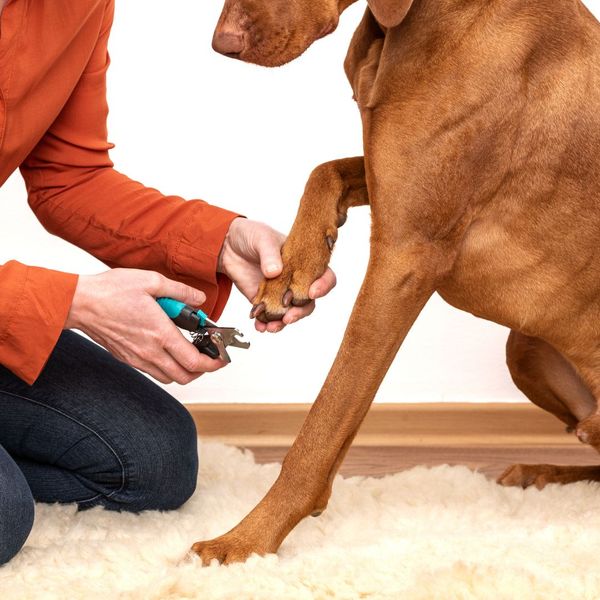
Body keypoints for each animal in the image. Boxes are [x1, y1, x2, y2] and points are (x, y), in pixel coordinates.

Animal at [191, 0, 600, 564]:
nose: (222, 43)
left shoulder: (407, 256)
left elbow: (327, 416)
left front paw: (245, 541)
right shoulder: (385, 180)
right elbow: (325, 169)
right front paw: (294, 267)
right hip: (524, 348)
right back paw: (538, 472)